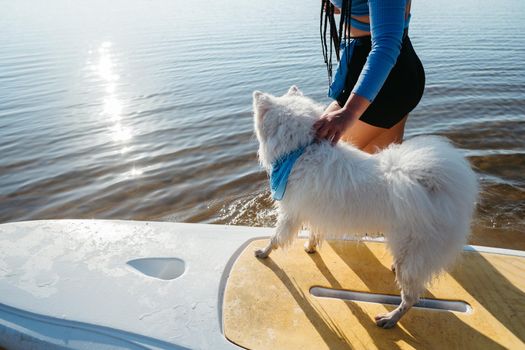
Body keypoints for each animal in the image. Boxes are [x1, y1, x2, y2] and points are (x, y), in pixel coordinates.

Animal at [252, 85, 476, 328]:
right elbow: (314, 231)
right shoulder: (314, 210)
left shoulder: (290, 213)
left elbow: (276, 238)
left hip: (413, 251)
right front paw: (310, 247)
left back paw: (390, 318)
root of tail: (444, 188)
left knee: (411, 298)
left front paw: (263, 252)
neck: (303, 150)